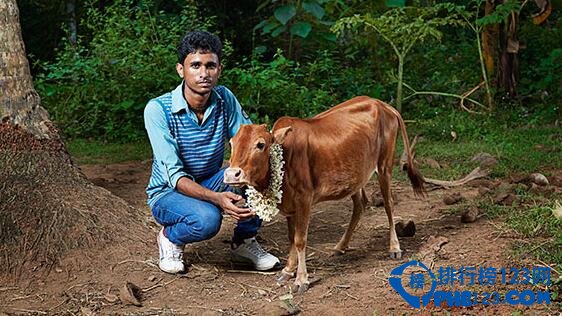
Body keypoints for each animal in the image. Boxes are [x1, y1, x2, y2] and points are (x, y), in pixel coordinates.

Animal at [221, 97, 422, 294]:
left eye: (260, 144)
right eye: (231, 143)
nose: (232, 174)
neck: (285, 155)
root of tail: (384, 105)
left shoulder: (304, 198)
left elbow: (300, 240)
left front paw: (301, 279)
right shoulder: (290, 204)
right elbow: (291, 237)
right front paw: (288, 271)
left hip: (384, 165)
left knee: (388, 204)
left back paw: (394, 247)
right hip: (356, 174)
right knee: (360, 204)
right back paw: (341, 246)